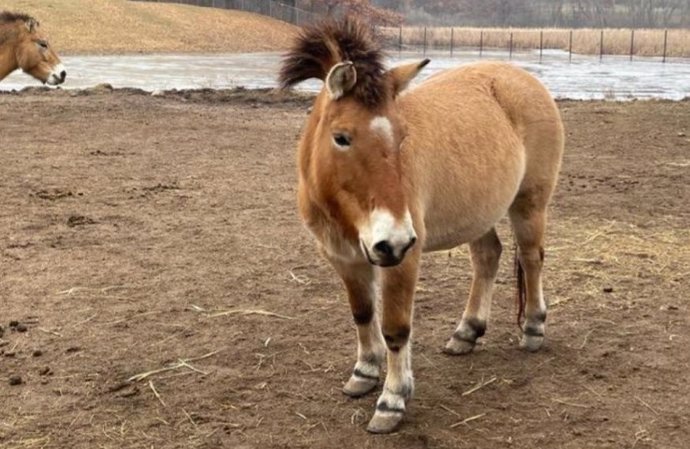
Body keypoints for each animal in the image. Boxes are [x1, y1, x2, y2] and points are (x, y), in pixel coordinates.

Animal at [276, 18, 560, 434]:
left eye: (402, 136)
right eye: (341, 137)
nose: (392, 239)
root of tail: (524, 79)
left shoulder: (403, 258)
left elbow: (396, 327)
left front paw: (393, 400)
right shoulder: (345, 257)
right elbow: (363, 313)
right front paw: (364, 372)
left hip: (529, 204)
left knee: (531, 257)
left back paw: (535, 329)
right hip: (478, 215)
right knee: (488, 257)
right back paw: (467, 332)